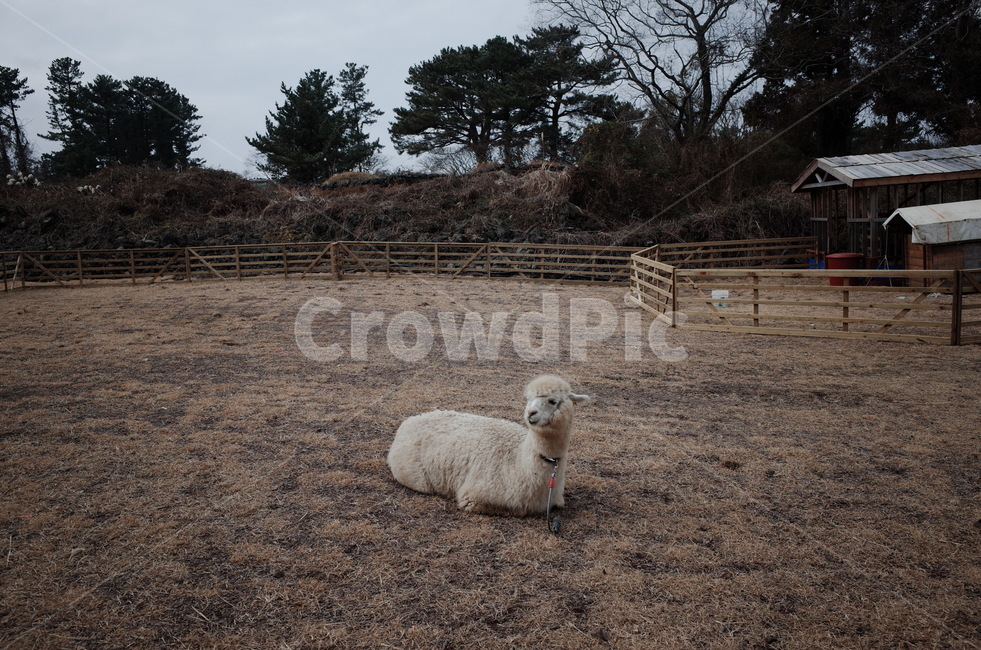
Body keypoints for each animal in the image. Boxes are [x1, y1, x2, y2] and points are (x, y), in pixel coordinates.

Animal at [387, 375, 591, 516]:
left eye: (553, 401)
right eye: (528, 399)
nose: (530, 413)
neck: (518, 462)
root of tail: (408, 421)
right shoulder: (475, 496)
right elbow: (515, 510)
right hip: (415, 476)